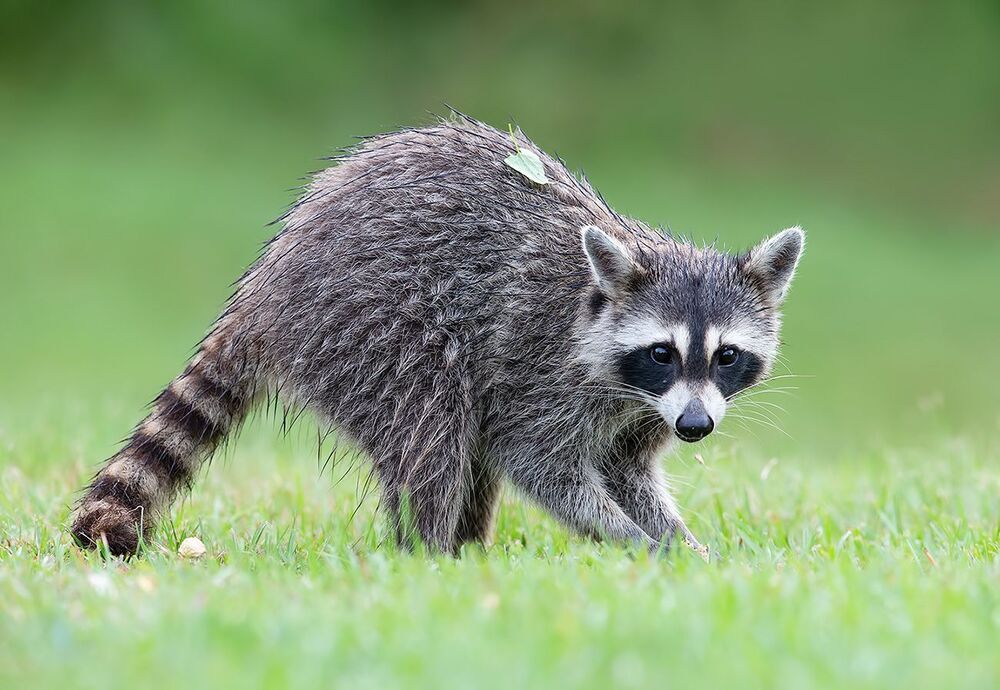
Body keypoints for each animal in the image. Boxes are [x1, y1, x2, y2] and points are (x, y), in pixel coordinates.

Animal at [70, 114, 804, 557]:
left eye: (727, 356)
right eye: (662, 352)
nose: (696, 427)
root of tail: (265, 289)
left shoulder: (643, 409)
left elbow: (626, 470)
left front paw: (679, 543)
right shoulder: (545, 366)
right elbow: (539, 462)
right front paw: (629, 537)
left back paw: (466, 548)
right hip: (369, 328)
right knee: (435, 426)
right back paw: (428, 552)